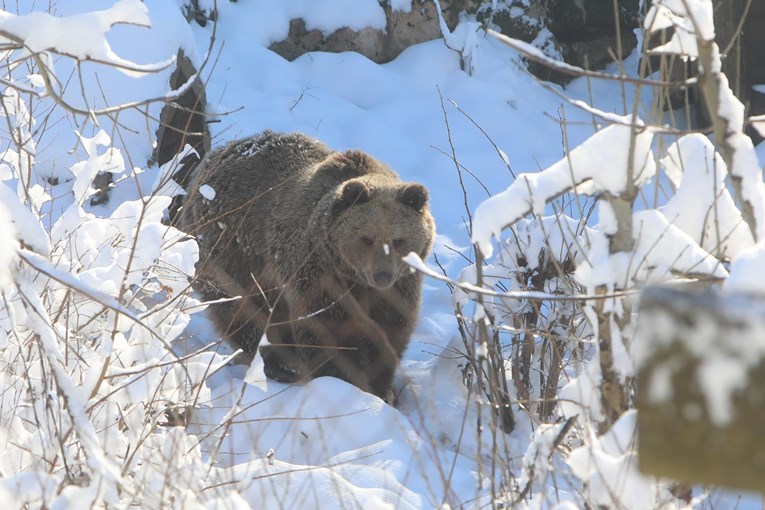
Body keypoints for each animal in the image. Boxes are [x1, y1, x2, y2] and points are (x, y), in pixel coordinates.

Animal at [176, 130, 432, 398]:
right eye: (366, 238)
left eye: (398, 240)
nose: (382, 275)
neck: (352, 276)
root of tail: (216, 155)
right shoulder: (318, 274)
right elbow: (328, 332)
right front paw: (342, 382)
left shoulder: (399, 286)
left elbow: (389, 333)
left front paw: (382, 389)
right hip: (232, 247)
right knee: (242, 309)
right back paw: (276, 365)